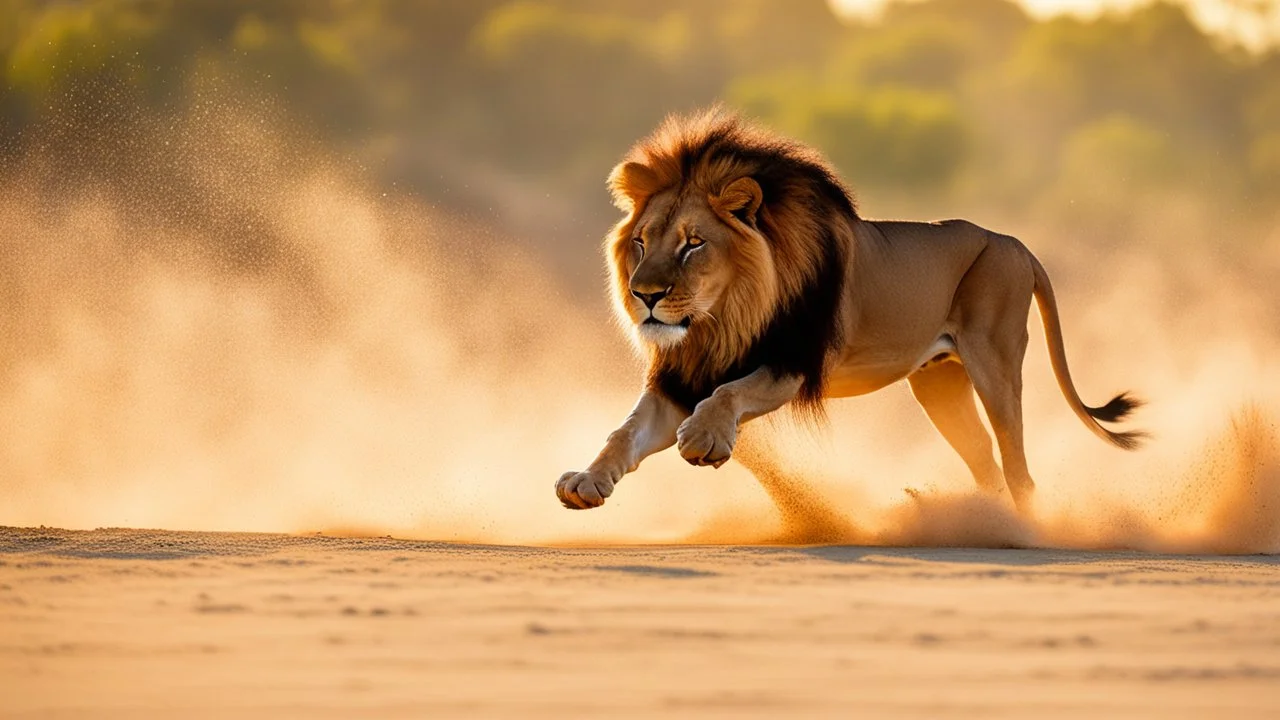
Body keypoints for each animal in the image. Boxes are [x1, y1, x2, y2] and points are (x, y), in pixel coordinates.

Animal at [555, 105, 1146, 509]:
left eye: (693, 244)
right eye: (641, 242)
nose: (645, 295)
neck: (722, 317)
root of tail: (1017, 244)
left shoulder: (792, 362)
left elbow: (730, 392)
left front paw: (705, 439)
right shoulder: (681, 377)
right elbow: (626, 431)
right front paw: (585, 481)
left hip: (995, 365)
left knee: (1018, 468)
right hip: (939, 383)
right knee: (987, 466)